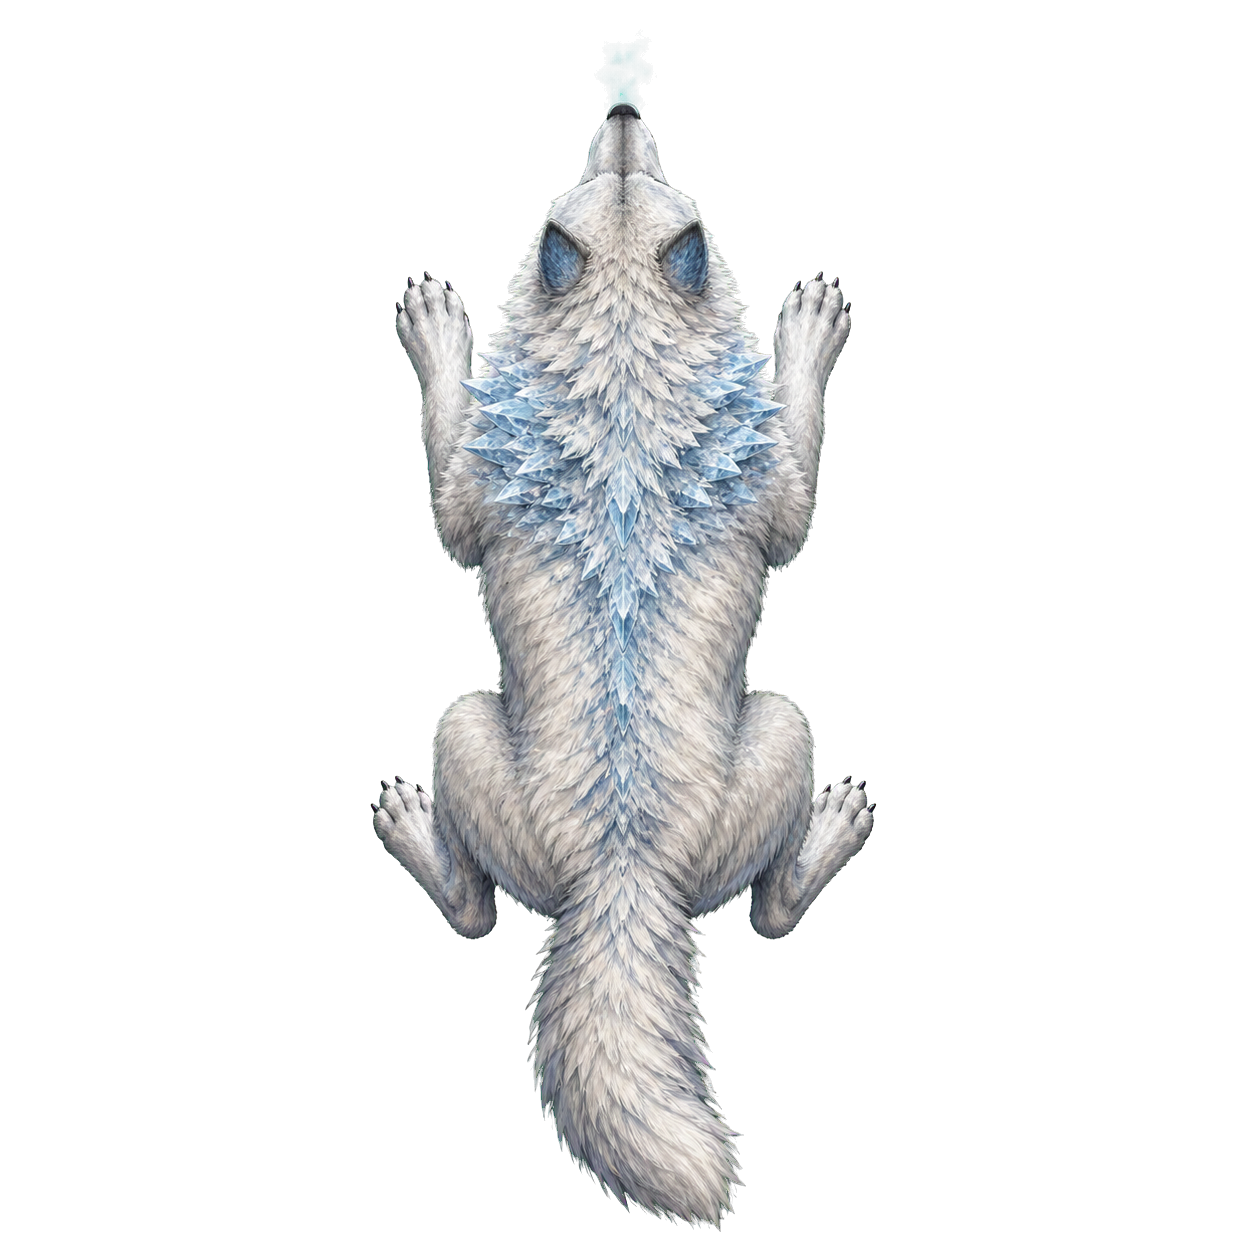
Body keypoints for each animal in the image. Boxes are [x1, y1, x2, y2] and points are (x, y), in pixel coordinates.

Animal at [375, 104, 872, 1226]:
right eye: (584, 190)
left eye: (654, 184)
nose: (623, 113)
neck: (624, 368)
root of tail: (623, 872)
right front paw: (438, 334)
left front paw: (807, 332)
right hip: (741, 725)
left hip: (493, 727)